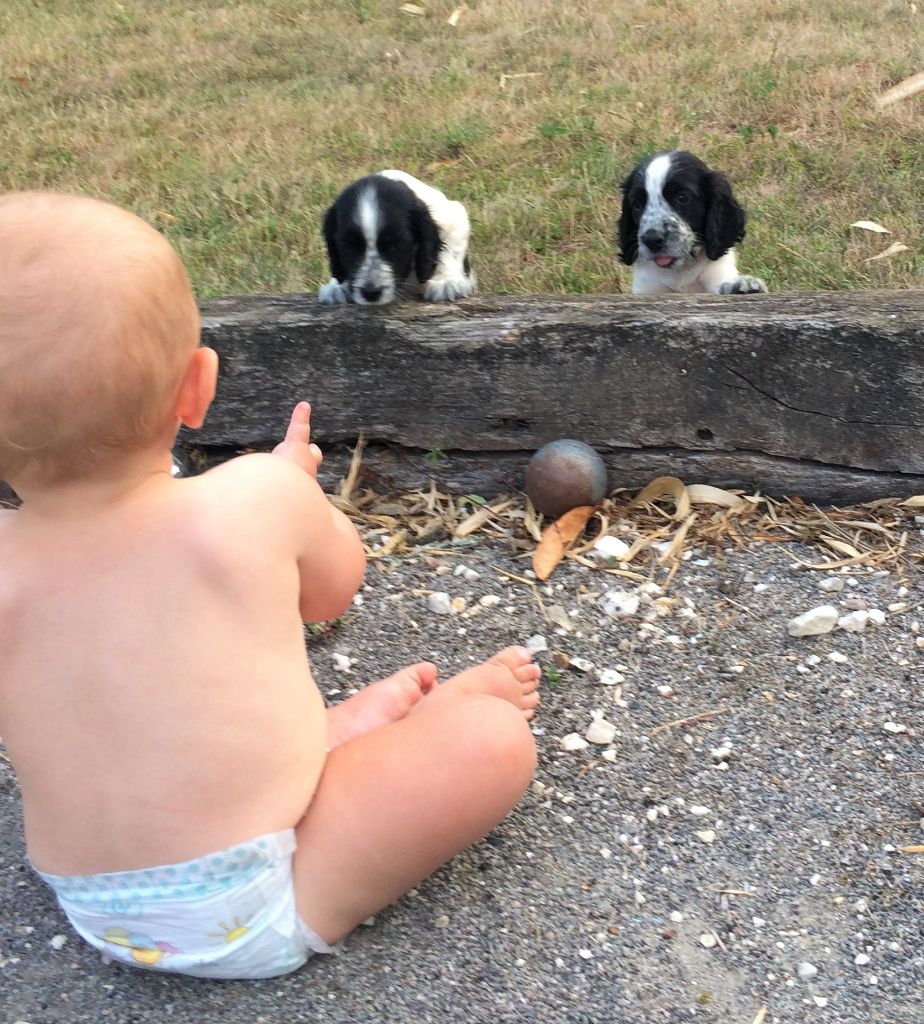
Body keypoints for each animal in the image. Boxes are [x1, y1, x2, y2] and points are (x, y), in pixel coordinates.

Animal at [319, 169, 477, 305]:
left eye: (396, 246)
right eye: (348, 247)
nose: (371, 293)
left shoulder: (454, 216)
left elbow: (449, 249)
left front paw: (446, 282)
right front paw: (336, 286)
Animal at [618, 150, 770, 296]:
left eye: (682, 198)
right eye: (637, 205)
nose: (651, 240)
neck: (680, 272)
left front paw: (744, 285)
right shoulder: (646, 289)